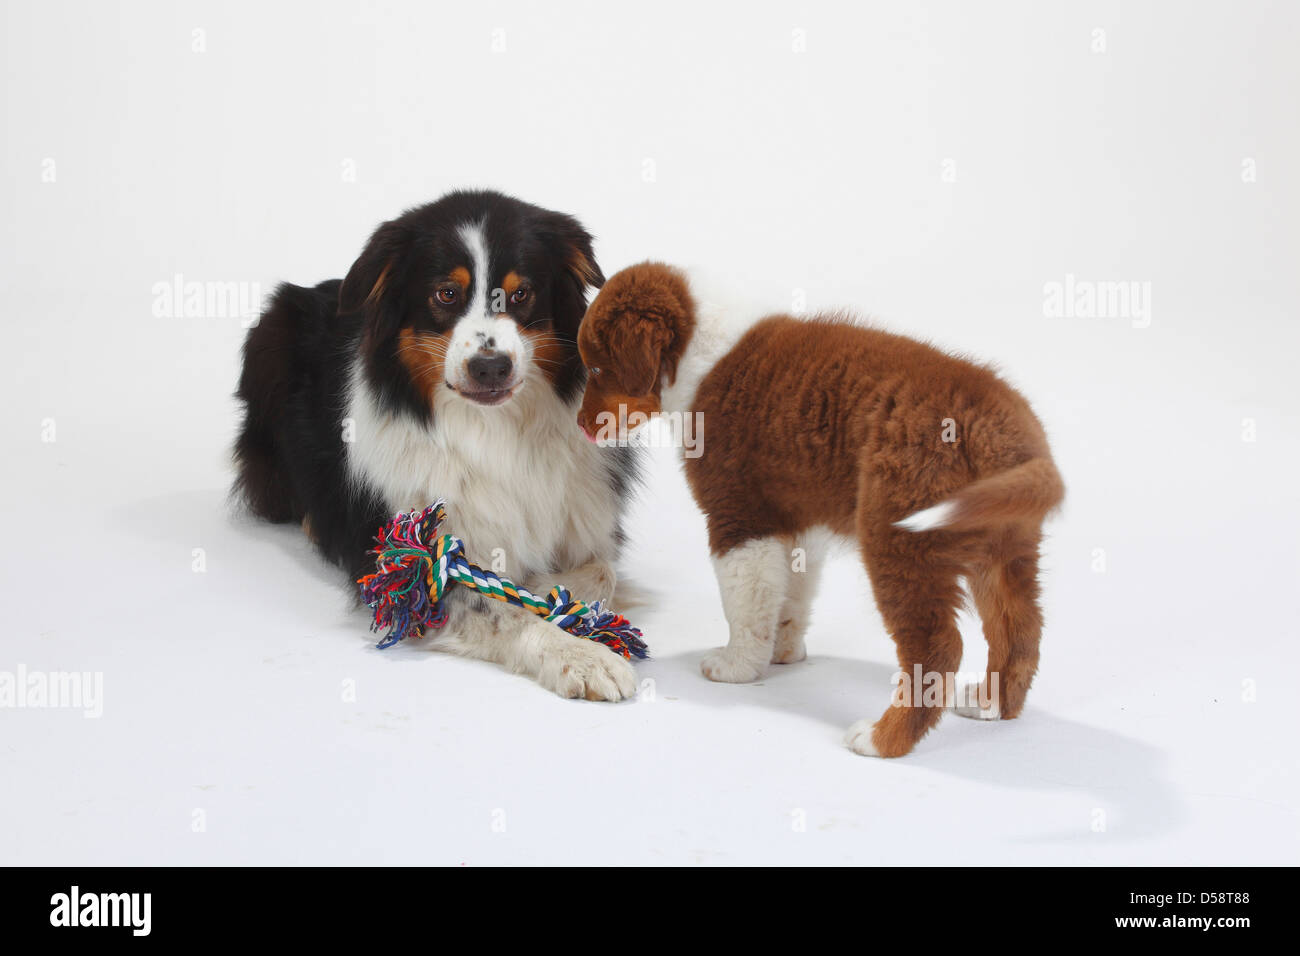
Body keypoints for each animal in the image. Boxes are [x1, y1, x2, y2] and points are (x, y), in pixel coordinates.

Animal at [579, 261, 1066, 754]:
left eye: (597, 366)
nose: (580, 426)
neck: (701, 351)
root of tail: (1003, 432)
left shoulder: (738, 515)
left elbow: (745, 605)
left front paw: (736, 666)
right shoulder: (796, 520)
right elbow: (791, 594)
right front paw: (783, 653)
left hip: (901, 540)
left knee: (939, 645)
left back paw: (882, 739)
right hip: (1004, 548)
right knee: (1020, 628)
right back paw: (991, 705)